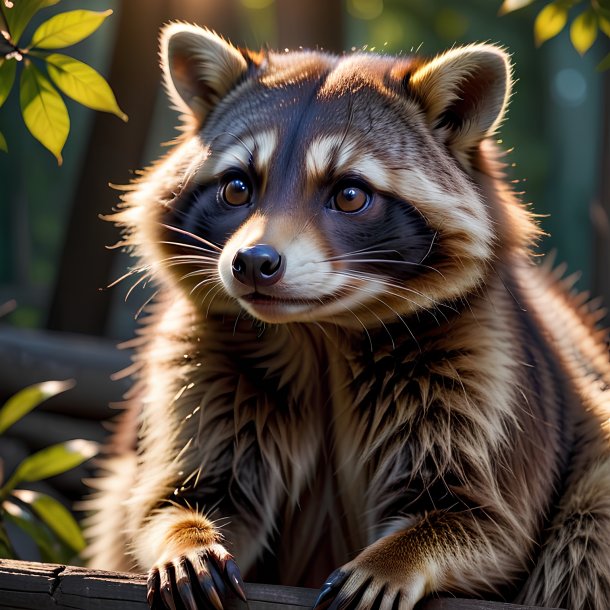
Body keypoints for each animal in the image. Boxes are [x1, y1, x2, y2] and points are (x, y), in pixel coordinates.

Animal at [84, 22, 608, 608]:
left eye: (351, 194)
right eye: (237, 188)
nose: (253, 262)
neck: (319, 331)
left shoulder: (487, 370)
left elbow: (487, 521)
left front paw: (399, 555)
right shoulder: (203, 360)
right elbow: (173, 495)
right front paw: (186, 533)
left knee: (588, 531)